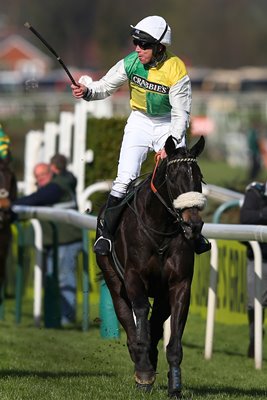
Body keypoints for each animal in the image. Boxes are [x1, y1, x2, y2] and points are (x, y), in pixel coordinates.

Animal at [96, 136, 207, 398]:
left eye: (199, 177)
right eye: (173, 178)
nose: (193, 225)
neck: (160, 230)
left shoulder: (179, 285)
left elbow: (173, 340)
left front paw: (174, 385)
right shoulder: (134, 278)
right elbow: (140, 320)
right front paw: (144, 373)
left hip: (162, 295)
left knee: (156, 324)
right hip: (114, 281)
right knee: (128, 320)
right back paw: (141, 362)